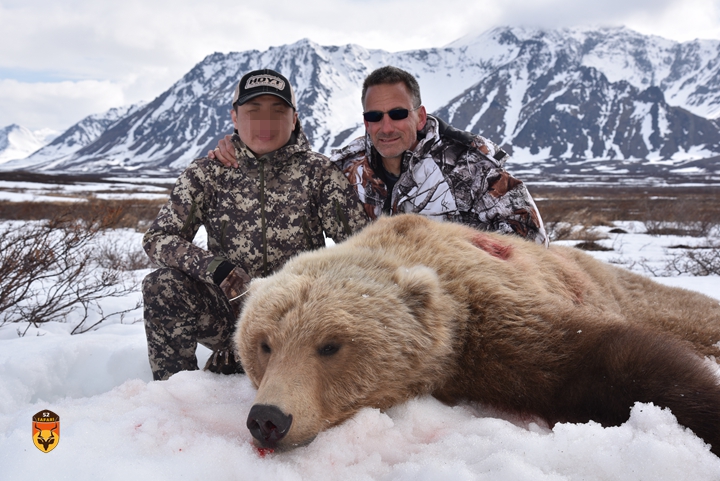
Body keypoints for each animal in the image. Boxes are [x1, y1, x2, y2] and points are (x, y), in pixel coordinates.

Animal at [235, 214, 720, 454]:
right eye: (265, 344)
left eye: (330, 345)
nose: (268, 418)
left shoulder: (491, 314)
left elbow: (608, 364)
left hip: (623, 288)